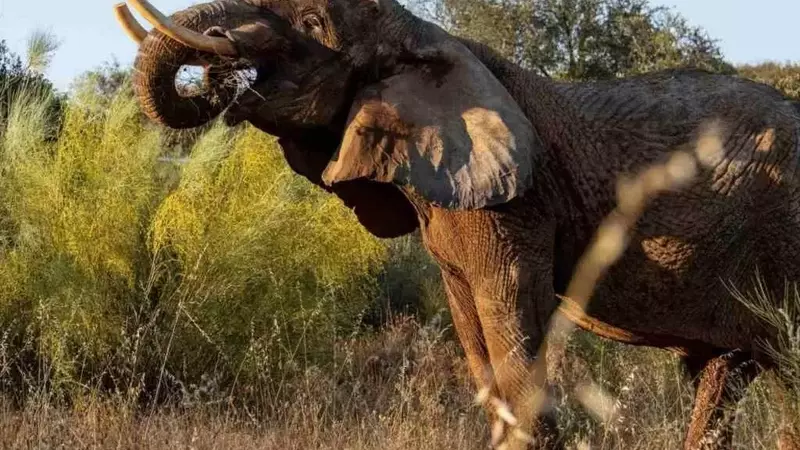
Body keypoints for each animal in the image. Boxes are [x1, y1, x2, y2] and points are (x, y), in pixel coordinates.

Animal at [115, 0, 800, 448]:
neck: (430, 40)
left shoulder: (517, 204)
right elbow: (473, 327)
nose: (218, 68)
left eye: (310, 25)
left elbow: (509, 312)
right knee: (727, 375)